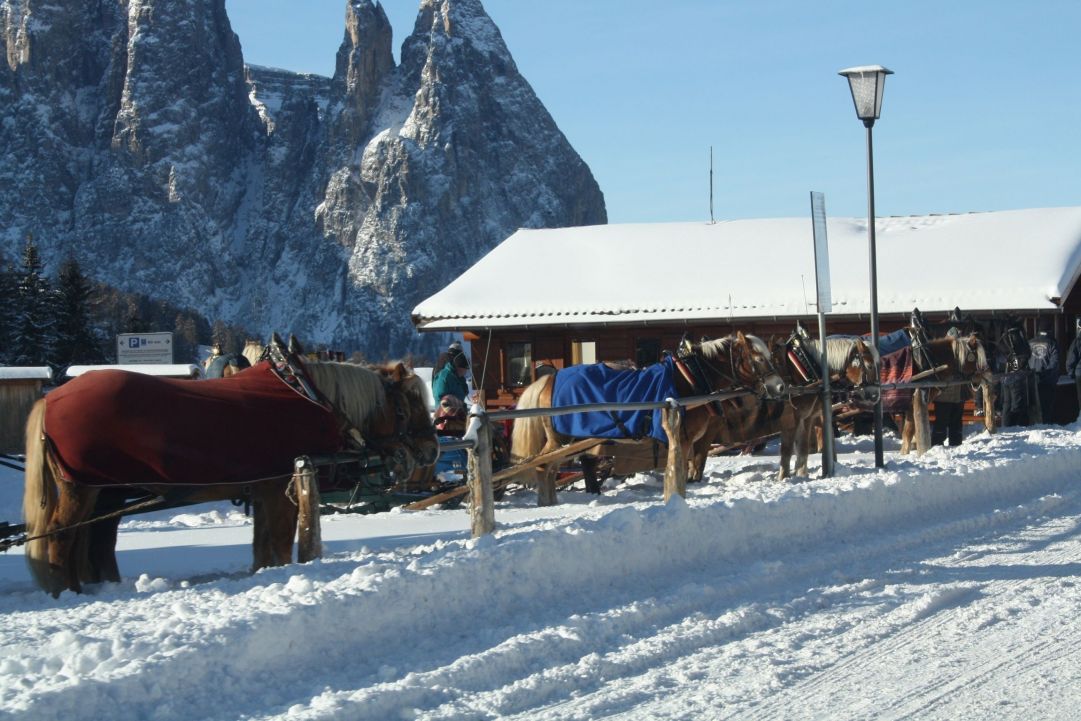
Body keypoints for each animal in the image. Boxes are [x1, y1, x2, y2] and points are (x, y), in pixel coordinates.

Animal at [21, 350, 436, 596]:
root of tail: (51, 398)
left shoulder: (264, 488)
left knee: (95, 540)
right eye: (411, 403)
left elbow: (263, 545)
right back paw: (66, 591)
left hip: (107, 489)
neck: (314, 398)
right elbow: (279, 541)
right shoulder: (277, 486)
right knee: (61, 536)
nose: (432, 449)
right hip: (82, 486)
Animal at [505, 335, 786, 499]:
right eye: (759, 358)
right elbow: (683, 468)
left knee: (581, 464)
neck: (689, 378)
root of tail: (550, 378)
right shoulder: (682, 439)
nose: (780, 386)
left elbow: (694, 466)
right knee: (544, 466)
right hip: (560, 439)